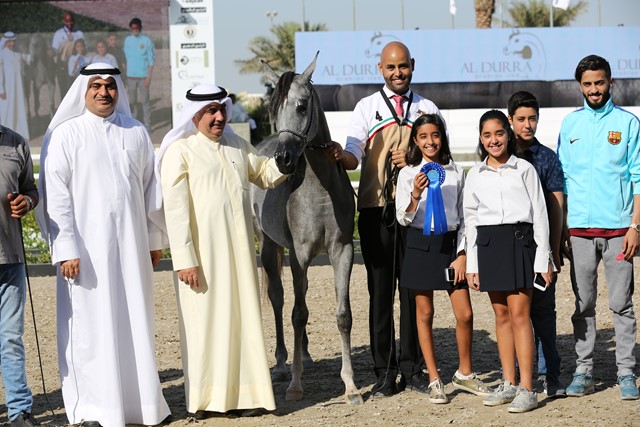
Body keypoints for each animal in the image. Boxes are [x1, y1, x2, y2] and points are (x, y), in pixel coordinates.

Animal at [251, 53, 363, 405]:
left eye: (302, 106)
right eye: (272, 110)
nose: (283, 160)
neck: (319, 189)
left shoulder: (342, 250)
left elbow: (343, 316)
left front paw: (351, 386)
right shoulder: (298, 254)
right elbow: (297, 314)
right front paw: (295, 385)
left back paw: (307, 355)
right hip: (270, 246)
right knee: (278, 299)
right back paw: (282, 364)